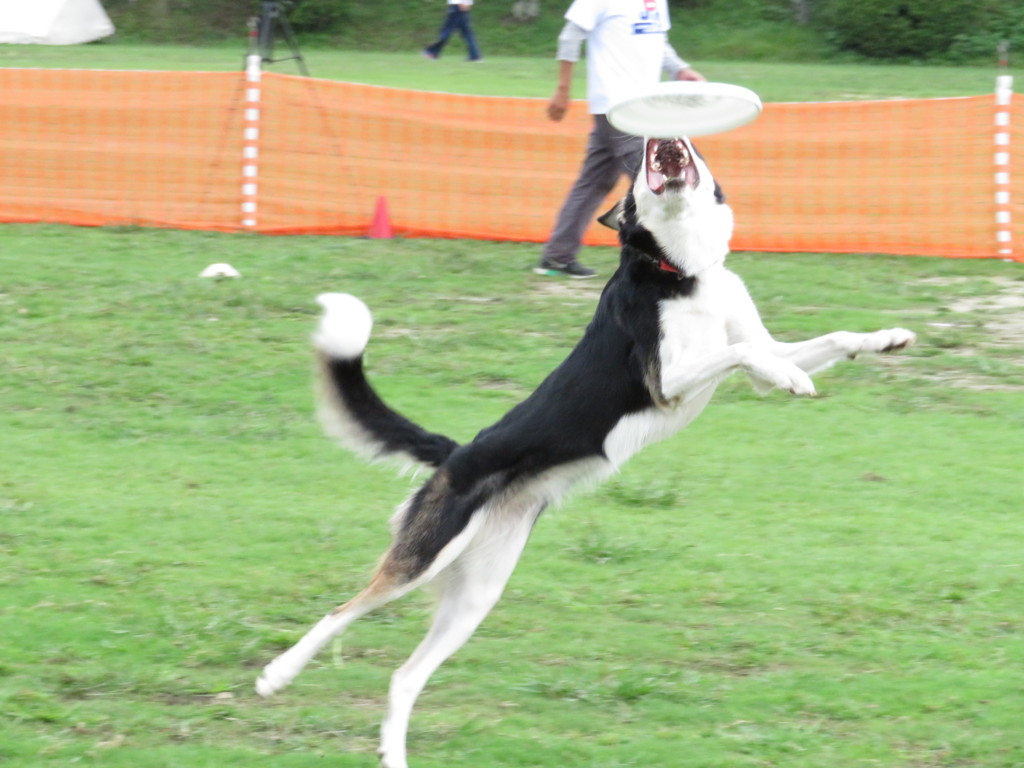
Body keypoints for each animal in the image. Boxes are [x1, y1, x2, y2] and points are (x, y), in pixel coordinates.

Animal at [253, 135, 913, 765]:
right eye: (640, 165)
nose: (658, 138)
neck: (679, 267)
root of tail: (455, 454)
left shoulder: (754, 346)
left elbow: (816, 341)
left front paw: (886, 339)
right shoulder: (668, 381)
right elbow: (744, 354)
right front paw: (795, 379)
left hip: (476, 592)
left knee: (403, 677)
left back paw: (392, 753)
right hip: (424, 558)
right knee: (342, 613)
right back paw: (275, 676)